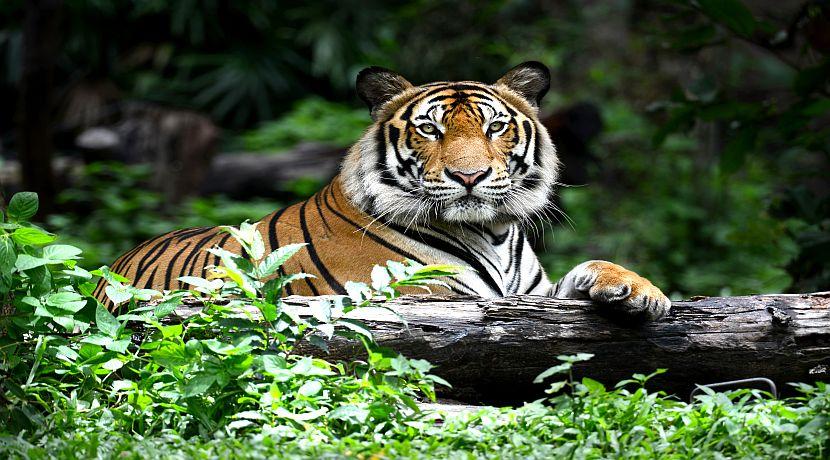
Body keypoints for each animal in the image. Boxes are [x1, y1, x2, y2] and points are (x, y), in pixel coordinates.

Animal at [94, 61, 671, 320]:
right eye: (430, 129)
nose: (469, 177)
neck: (492, 232)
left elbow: (585, 271)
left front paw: (639, 290)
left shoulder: (531, 294)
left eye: (494, 127)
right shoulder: (424, 297)